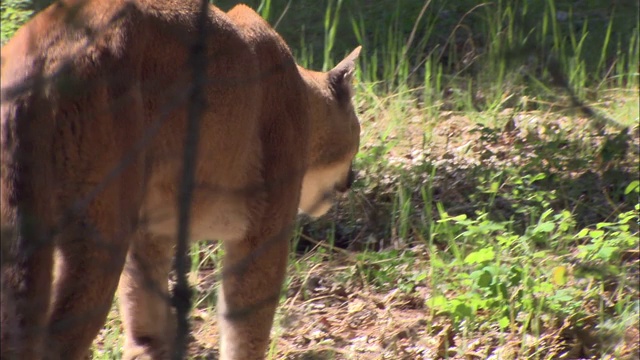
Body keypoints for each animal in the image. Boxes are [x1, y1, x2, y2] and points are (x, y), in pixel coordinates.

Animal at [0, 1, 360, 358]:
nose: (352, 180)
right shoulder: (264, 232)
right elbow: (247, 329)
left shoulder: (149, 232)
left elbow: (144, 317)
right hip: (100, 232)